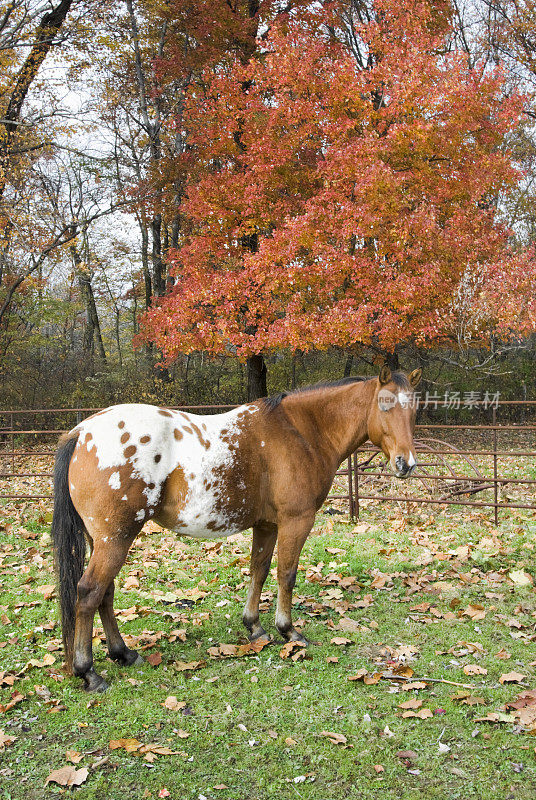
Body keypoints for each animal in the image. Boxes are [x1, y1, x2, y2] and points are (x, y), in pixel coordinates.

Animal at [50, 366, 420, 692]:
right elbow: (286, 574)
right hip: (116, 538)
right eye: (385, 405)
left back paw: (123, 653)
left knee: (105, 592)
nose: (406, 464)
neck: (301, 431)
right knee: (89, 592)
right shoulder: (296, 521)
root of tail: (81, 433)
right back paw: (89, 672)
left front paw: (255, 627)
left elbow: (259, 571)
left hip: (103, 540)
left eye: (414, 409)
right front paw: (289, 632)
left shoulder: (267, 525)